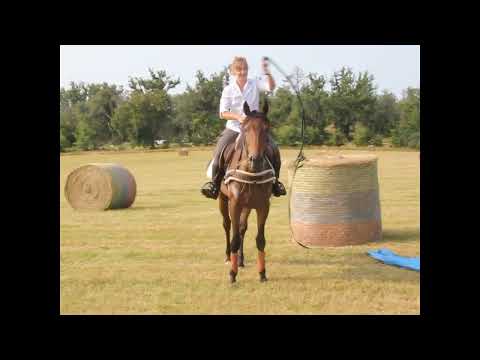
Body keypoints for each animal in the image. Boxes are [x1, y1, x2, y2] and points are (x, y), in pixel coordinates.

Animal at [217, 101, 274, 284]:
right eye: (245, 128)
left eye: (266, 129)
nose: (255, 160)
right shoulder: (234, 204)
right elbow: (234, 238)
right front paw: (232, 274)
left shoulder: (263, 205)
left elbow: (260, 239)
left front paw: (262, 273)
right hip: (223, 200)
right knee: (227, 225)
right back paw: (228, 256)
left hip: (248, 205)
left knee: (242, 228)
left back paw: (240, 260)